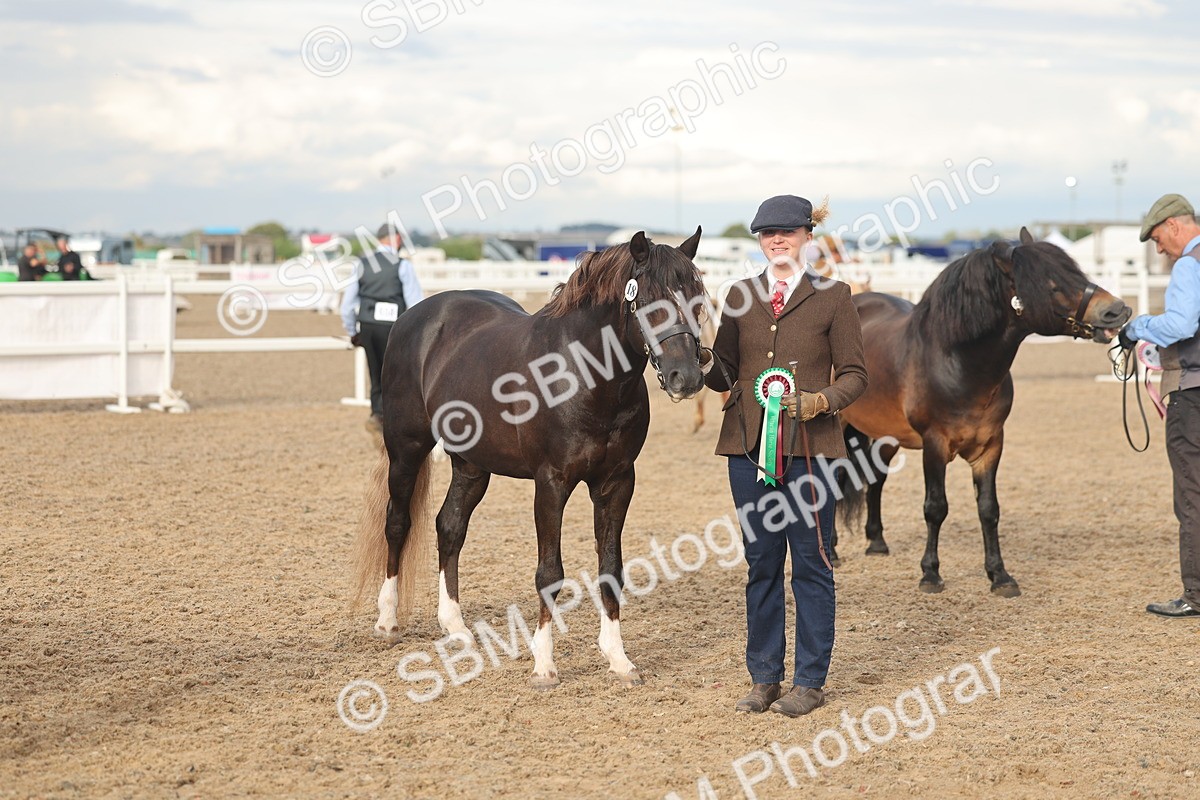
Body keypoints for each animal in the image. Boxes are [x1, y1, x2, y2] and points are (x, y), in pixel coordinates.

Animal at [351, 228, 709, 689]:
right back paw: (388, 620)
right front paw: (544, 666)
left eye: (696, 297)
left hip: (472, 465)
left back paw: (456, 627)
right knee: (397, 523)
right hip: (406, 449)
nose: (687, 376)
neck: (584, 376)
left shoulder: (617, 482)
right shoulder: (551, 483)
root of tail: (413, 318)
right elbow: (549, 572)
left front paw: (619, 660)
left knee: (450, 526)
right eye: (647, 300)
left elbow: (611, 568)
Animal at [833, 227, 1131, 596]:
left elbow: (989, 509)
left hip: (885, 435)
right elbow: (936, 507)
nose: (1117, 310)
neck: (958, 361)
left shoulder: (991, 445)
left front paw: (999, 576)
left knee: (876, 480)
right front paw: (930, 573)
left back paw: (876, 543)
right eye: (1051, 284)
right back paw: (832, 553)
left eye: (1076, 272)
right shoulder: (934, 444)